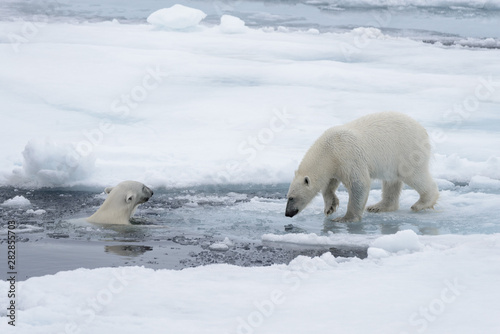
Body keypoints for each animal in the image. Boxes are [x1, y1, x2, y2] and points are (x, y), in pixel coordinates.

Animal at [286, 112, 438, 222]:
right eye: (287, 196)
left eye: (292, 198)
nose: (287, 213)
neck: (329, 150)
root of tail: (423, 130)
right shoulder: (335, 166)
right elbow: (330, 184)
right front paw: (330, 207)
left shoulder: (348, 157)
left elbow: (359, 184)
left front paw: (345, 218)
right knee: (391, 182)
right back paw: (378, 207)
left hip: (407, 151)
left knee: (414, 175)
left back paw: (422, 203)